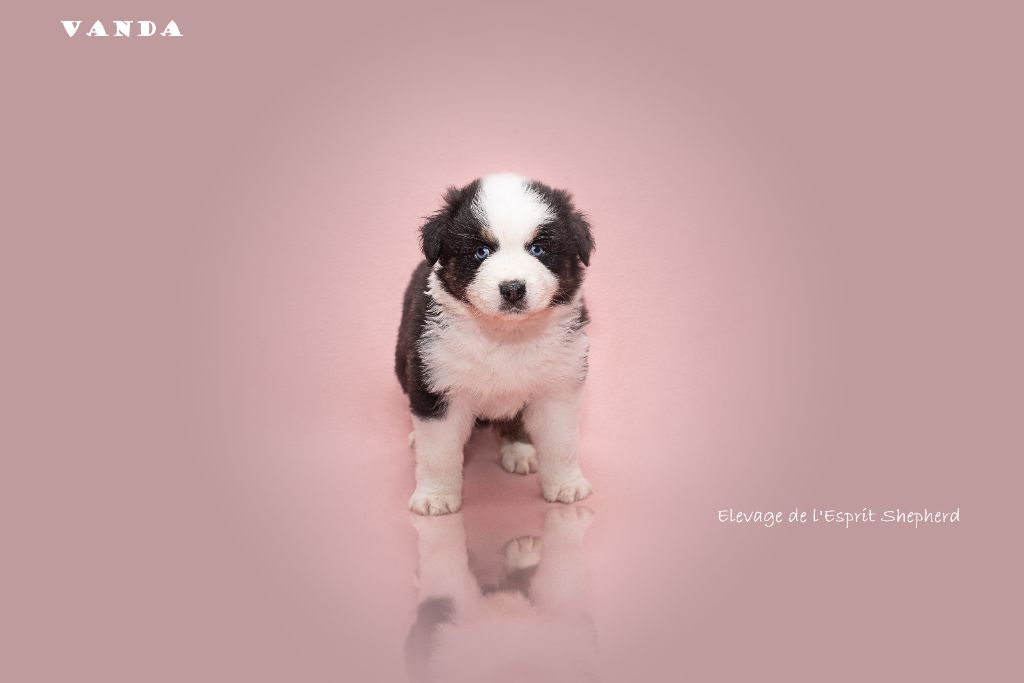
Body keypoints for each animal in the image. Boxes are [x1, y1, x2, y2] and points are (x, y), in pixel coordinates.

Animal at [395, 173, 595, 515]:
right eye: (481, 252)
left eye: (538, 249)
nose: (513, 289)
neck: (505, 335)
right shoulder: (437, 381)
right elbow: (438, 452)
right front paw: (436, 497)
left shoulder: (559, 384)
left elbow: (562, 442)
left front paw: (565, 485)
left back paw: (519, 449)